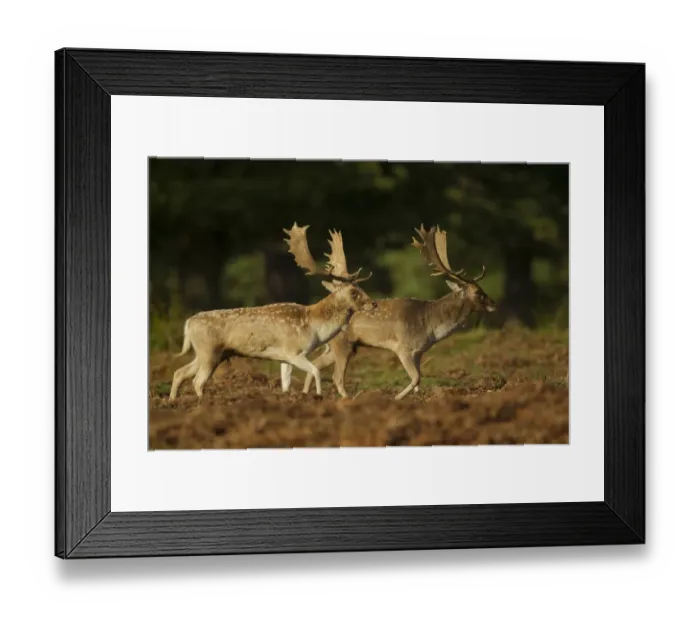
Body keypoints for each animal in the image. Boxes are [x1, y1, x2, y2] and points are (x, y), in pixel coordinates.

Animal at [168, 223, 375, 400]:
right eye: (353, 292)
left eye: (360, 287)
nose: (373, 304)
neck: (314, 326)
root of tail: (188, 323)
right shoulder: (294, 352)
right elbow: (316, 371)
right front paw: (317, 396)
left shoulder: (285, 358)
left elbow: (286, 383)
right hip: (208, 351)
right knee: (197, 381)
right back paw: (202, 403)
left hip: (207, 353)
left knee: (179, 372)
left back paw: (172, 401)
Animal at [298, 225, 497, 400]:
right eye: (478, 292)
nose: (494, 304)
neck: (430, 326)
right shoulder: (403, 348)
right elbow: (416, 377)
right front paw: (396, 397)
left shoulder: (419, 352)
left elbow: (419, 380)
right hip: (342, 345)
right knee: (337, 377)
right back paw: (349, 399)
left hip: (336, 346)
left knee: (316, 364)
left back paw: (307, 395)